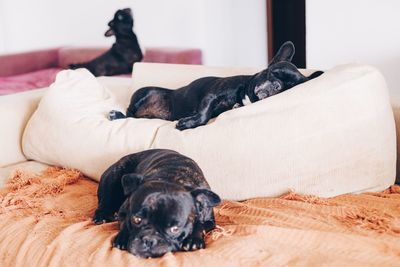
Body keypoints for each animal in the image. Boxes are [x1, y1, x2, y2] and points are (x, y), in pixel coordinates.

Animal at [110, 40, 324, 131]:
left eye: (289, 88)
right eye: (272, 73)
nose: (277, 86)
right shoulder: (211, 96)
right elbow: (204, 114)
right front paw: (188, 123)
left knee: (135, 117)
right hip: (144, 93)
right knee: (129, 113)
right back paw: (116, 115)